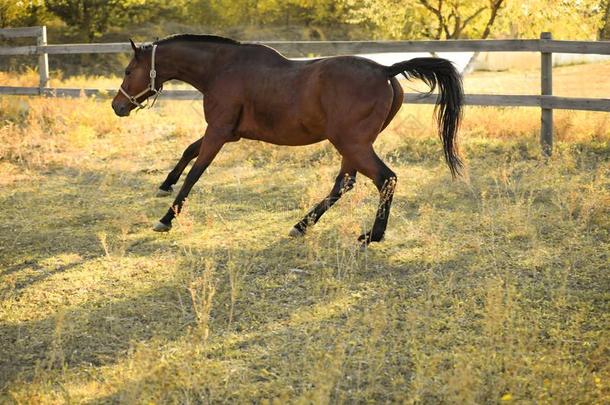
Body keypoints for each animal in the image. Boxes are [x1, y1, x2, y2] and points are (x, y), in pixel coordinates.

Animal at [110, 34, 460, 245]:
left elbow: (196, 172)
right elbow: (188, 152)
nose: (118, 106)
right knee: (344, 185)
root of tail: (386, 71)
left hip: (352, 144)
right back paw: (301, 226)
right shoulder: (227, 133)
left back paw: (371, 235)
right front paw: (164, 184)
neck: (221, 68)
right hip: (352, 146)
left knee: (385, 179)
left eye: (128, 71)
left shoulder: (218, 132)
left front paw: (166, 218)